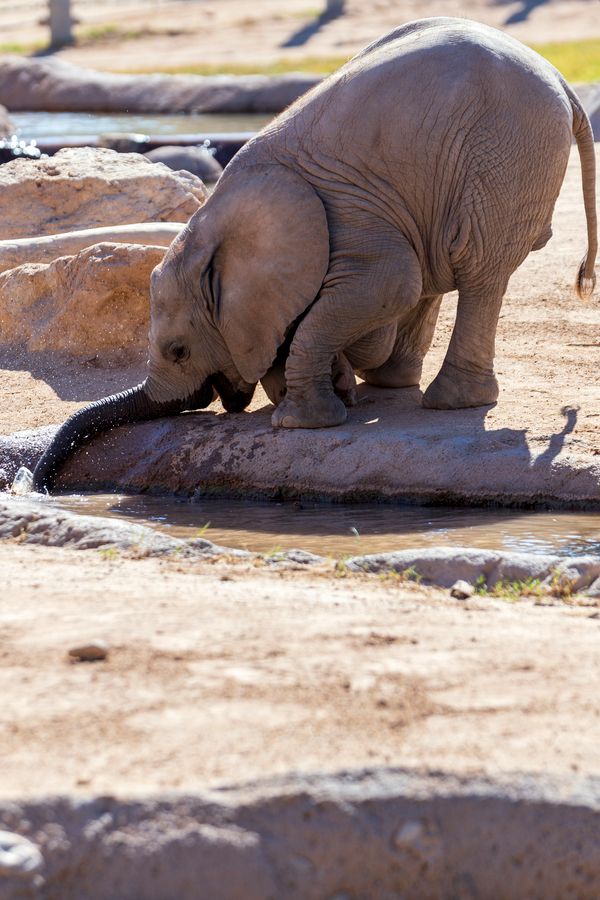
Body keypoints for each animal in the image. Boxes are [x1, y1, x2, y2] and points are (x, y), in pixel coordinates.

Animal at [32, 15, 596, 492]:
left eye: (178, 352)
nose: (37, 484)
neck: (212, 222)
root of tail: (560, 78)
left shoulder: (350, 223)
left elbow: (389, 286)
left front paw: (298, 421)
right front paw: (333, 390)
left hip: (507, 157)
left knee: (476, 271)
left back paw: (450, 402)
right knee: (441, 269)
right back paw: (388, 383)